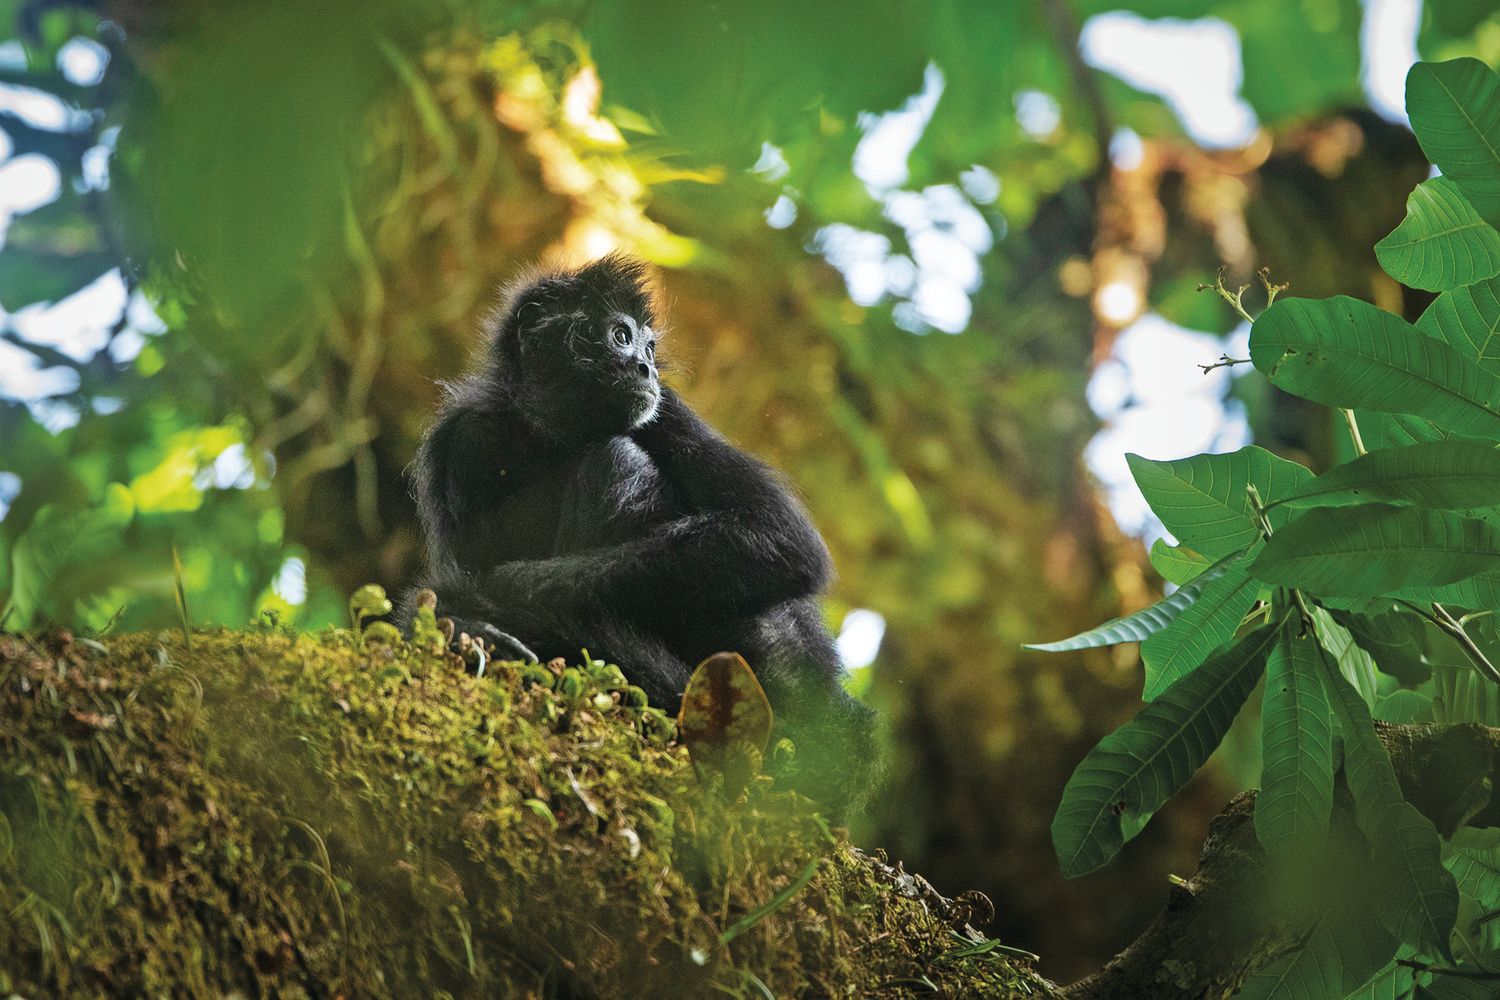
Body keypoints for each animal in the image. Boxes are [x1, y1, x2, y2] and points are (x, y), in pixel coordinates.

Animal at [402, 254, 876, 814]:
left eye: (649, 347)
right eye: (620, 336)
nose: (646, 367)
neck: (551, 436)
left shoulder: (666, 407)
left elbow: (784, 539)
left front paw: (503, 596)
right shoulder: (465, 438)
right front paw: (468, 624)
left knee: (614, 455)